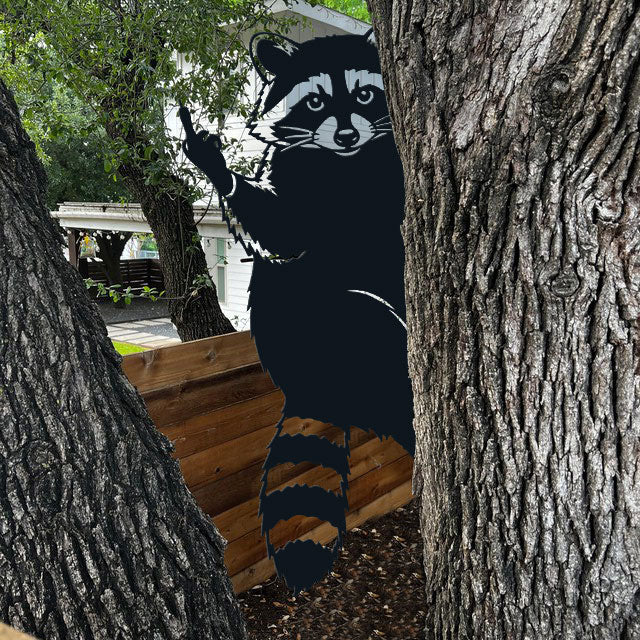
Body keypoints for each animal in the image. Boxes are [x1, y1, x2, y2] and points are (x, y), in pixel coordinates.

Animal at [180, 29, 414, 593]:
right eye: (315, 103)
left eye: (366, 95)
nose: (347, 135)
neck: (348, 165)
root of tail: (307, 384)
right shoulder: (299, 182)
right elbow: (285, 231)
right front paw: (218, 168)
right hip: (318, 320)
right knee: (366, 322)